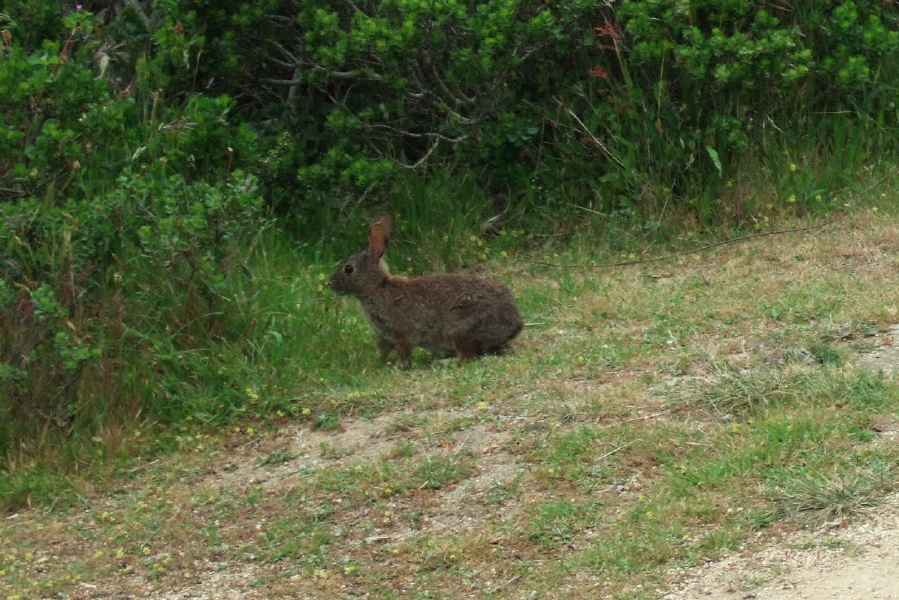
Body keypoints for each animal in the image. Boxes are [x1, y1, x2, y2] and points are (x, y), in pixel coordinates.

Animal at [328, 216, 528, 366]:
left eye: (348, 269)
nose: (330, 284)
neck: (378, 288)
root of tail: (514, 323)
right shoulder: (384, 336)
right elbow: (383, 351)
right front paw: (377, 365)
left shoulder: (403, 332)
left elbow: (404, 351)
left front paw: (400, 366)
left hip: (460, 328)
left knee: (468, 356)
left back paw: (444, 362)